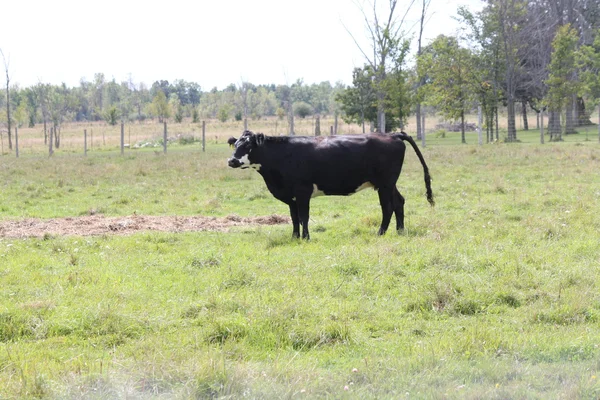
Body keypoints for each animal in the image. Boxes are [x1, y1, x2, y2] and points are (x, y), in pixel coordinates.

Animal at [227, 130, 434, 239]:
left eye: (248, 146)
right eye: (235, 145)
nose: (231, 161)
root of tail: (392, 134)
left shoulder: (302, 191)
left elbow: (304, 217)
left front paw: (306, 238)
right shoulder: (291, 196)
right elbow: (294, 218)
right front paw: (295, 237)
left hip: (385, 184)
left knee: (388, 207)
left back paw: (380, 233)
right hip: (389, 184)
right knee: (399, 202)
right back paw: (400, 231)